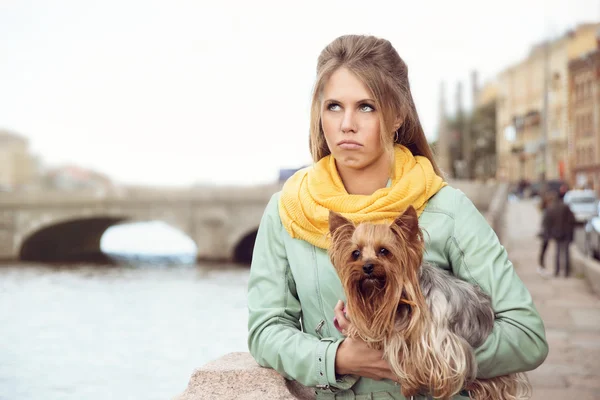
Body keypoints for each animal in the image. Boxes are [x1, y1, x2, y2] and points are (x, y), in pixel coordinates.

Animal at [328, 206, 528, 400]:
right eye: (356, 253)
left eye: (384, 251)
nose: (367, 266)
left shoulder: (442, 345)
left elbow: (420, 359)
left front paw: (410, 383)